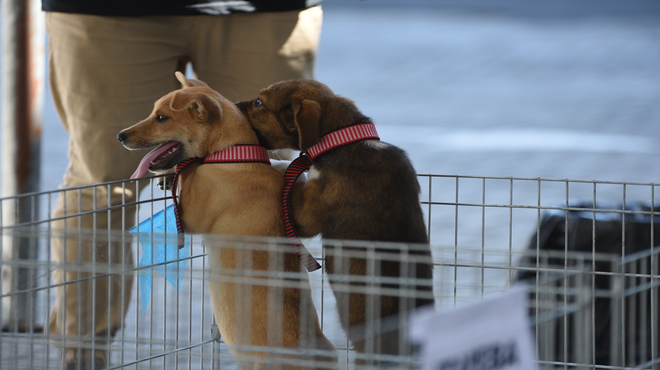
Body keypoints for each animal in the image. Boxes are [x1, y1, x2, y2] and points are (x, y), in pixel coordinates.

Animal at [116, 73, 336, 370]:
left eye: (161, 118)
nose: (120, 136)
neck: (235, 154)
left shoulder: (189, 213)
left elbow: (189, 170)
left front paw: (172, 172)